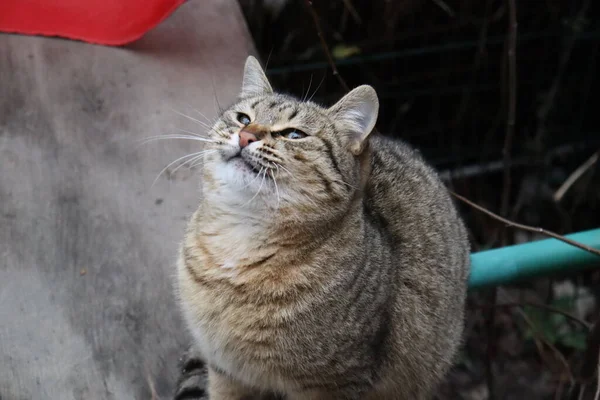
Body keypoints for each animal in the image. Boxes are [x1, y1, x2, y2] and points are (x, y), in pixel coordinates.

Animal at [176, 56, 472, 400]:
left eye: (294, 135)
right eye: (243, 118)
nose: (246, 135)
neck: (240, 238)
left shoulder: (332, 384)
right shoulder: (226, 371)